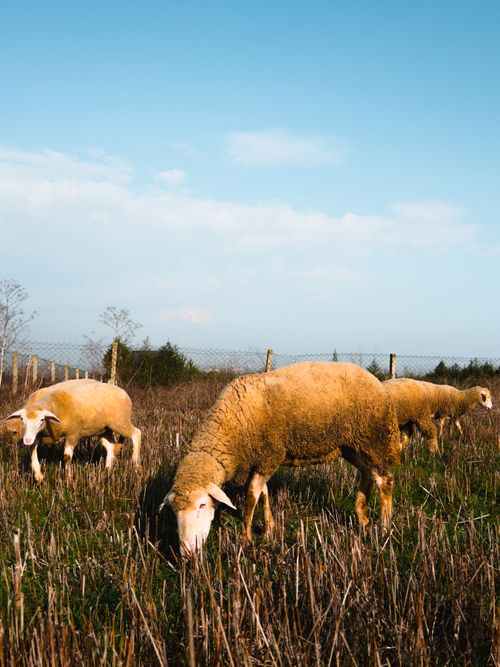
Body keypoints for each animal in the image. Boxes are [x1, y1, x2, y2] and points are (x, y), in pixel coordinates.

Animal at [4, 378, 141, 482]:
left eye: (42, 419)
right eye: (22, 419)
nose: (26, 440)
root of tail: (121, 390)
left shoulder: (73, 433)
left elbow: (66, 457)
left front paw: (68, 480)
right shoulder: (38, 435)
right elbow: (33, 450)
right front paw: (38, 476)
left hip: (120, 422)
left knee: (136, 433)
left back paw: (135, 464)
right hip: (103, 429)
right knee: (110, 446)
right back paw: (107, 470)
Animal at [161, 361, 401, 555]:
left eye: (202, 505)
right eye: (173, 511)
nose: (186, 553)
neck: (233, 424)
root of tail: (377, 382)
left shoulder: (269, 456)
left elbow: (252, 495)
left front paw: (246, 537)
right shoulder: (262, 460)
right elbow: (264, 493)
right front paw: (269, 530)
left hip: (372, 440)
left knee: (385, 480)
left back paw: (384, 527)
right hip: (351, 446)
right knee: (367, 474)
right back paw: (363, 518)